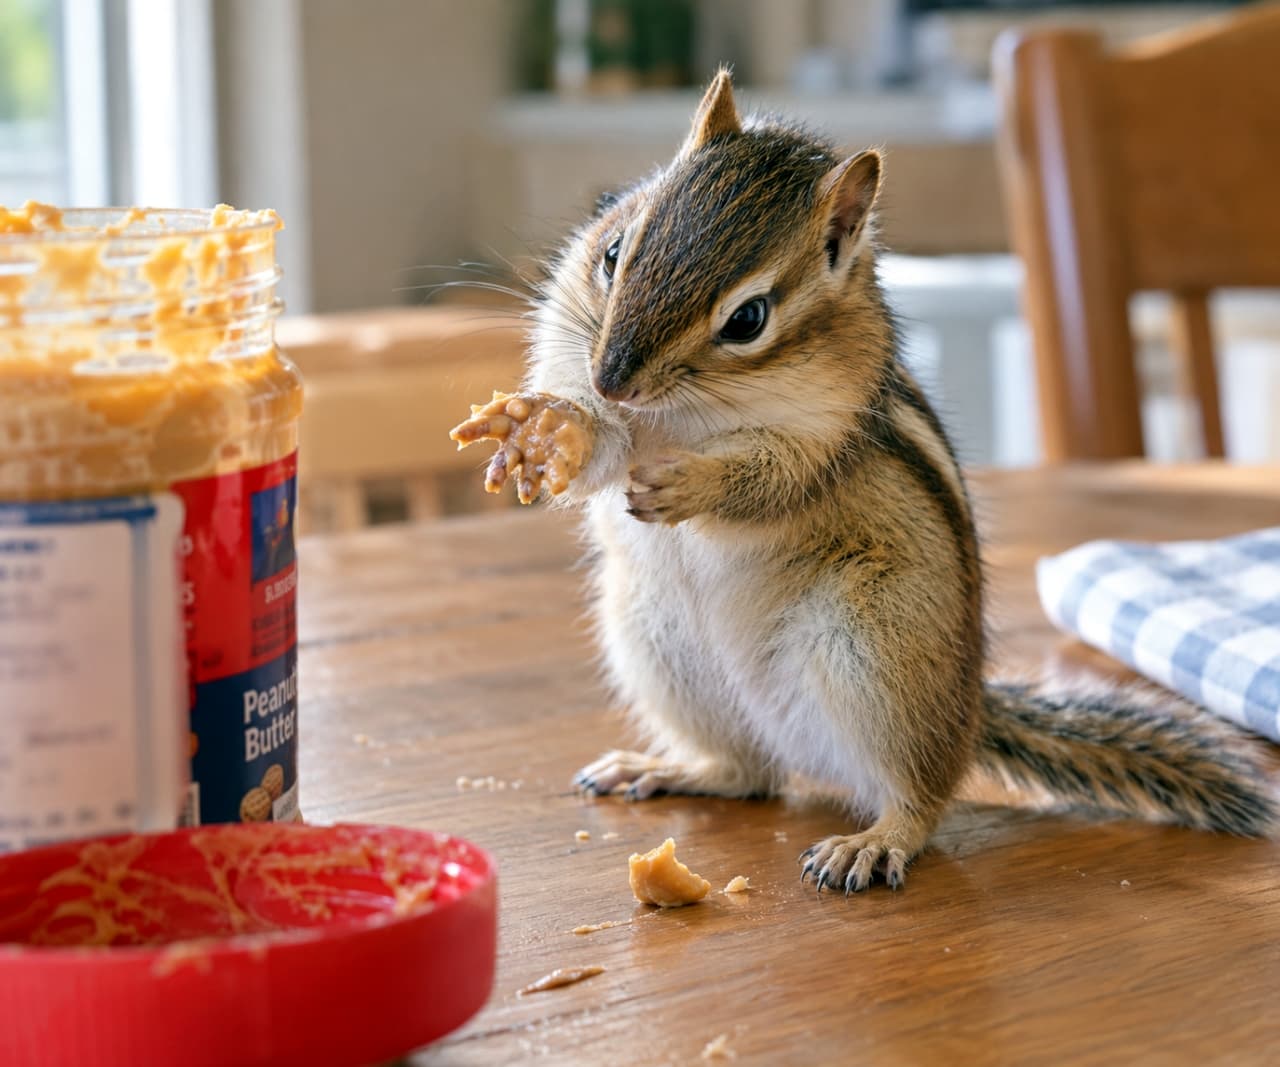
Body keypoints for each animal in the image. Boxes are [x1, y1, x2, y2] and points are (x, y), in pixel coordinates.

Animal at [451, 69, 1276, 892]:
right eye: (615, 249)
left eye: (748, 319)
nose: (612, 378)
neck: (679, 417)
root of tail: (967, 711)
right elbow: (597, 446)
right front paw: (547, 424)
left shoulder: (826, 432)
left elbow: (769, 479)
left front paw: (691, 486)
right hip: (658, 649)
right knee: (749, 773)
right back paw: (665, 768)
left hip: (875, 654)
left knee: (921, 795)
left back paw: (875, 841)